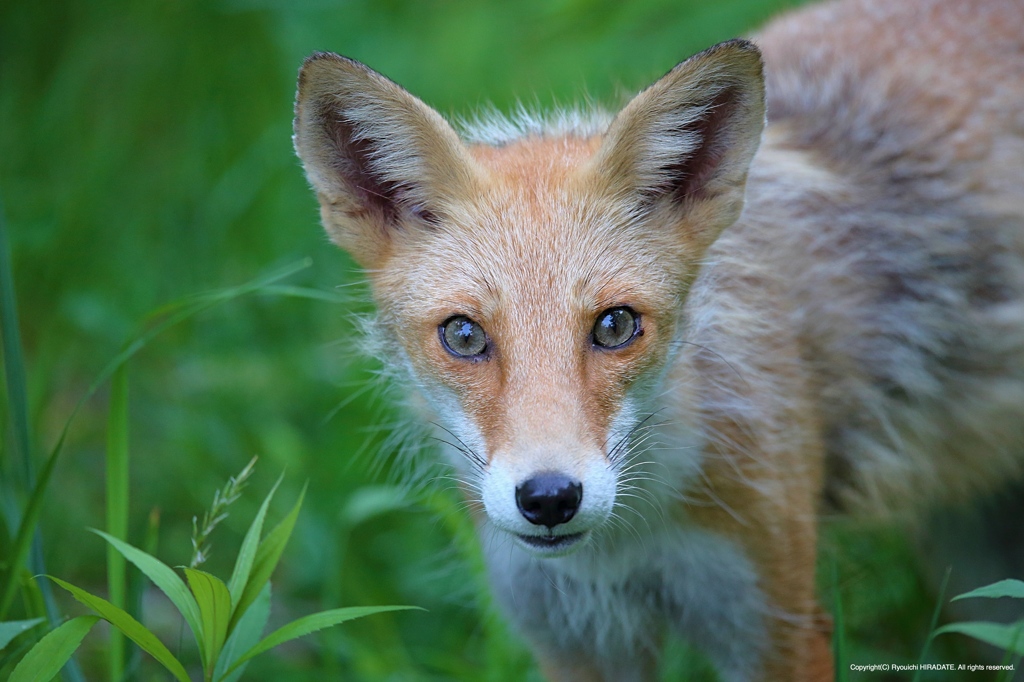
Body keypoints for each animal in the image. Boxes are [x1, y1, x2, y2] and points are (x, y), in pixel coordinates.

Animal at [288, 0, 1024, 675]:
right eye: (465, 336)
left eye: (615, 326)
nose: (550, 498)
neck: (623, 550)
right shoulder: (573, 637)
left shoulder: (772, 622)